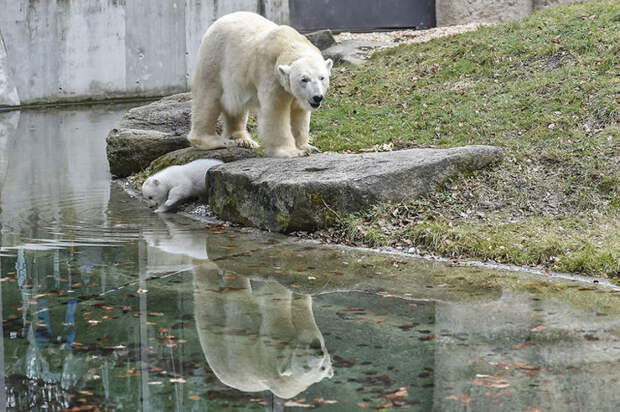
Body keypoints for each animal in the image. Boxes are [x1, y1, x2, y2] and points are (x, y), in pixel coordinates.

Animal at [189, 12, 334, 158]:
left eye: (322, 78)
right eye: (304, 79)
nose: (317, 97)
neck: (289, 43)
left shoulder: (298, 95)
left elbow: (299, 113)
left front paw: (308, 147)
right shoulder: (271, 76)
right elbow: (275, 112)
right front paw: (293, 152)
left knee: (235, 107)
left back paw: (243, 140)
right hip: (215, 59)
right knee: (208, 98)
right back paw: (214, 141)